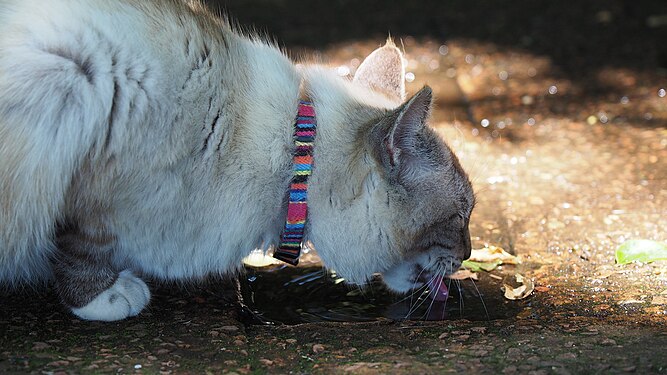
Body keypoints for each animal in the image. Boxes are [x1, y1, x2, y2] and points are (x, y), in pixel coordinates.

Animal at [0, 0, 474, 324]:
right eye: (460, 216)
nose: (468, 255)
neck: (293, 158)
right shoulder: (84, 154)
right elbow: (80, 248)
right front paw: (107, 298)